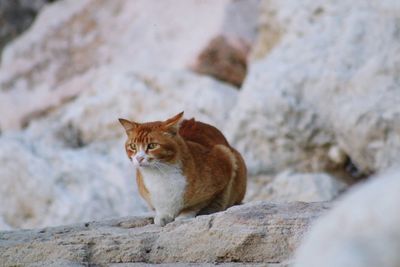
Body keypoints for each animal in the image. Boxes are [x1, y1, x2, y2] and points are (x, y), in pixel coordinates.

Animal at [117, 112, 245, 227]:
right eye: (133, 146)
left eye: (152, 146)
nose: (139, 158)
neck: (160, 175)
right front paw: (162, 215)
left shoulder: (225, 157)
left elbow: (199, 204)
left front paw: (184, 215)